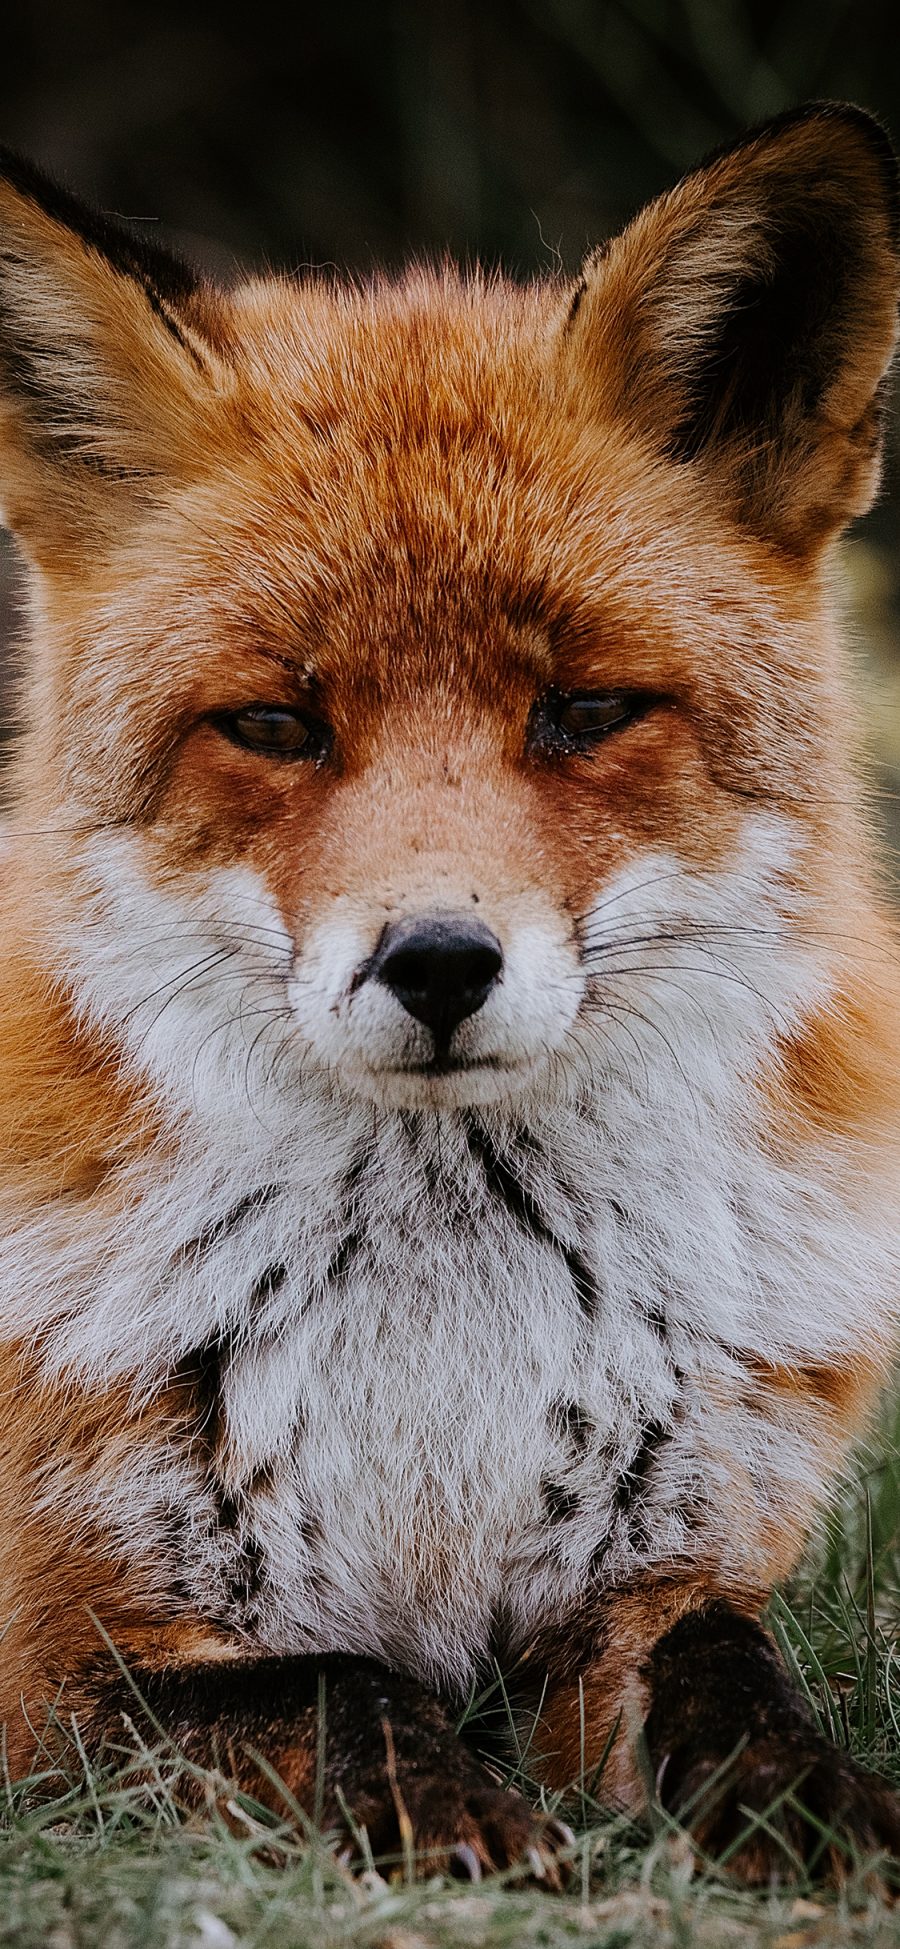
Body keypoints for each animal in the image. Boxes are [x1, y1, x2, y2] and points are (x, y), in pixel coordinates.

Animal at [0, 95, 900, 1886]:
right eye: (276, 726)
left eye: (588, 712)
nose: (435, 962)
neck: (443, 1333)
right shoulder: (55, 1657)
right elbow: (341, 1688)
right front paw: (465, 1824)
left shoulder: (653, 1579)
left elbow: (738, 1672)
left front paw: (822, 1816)